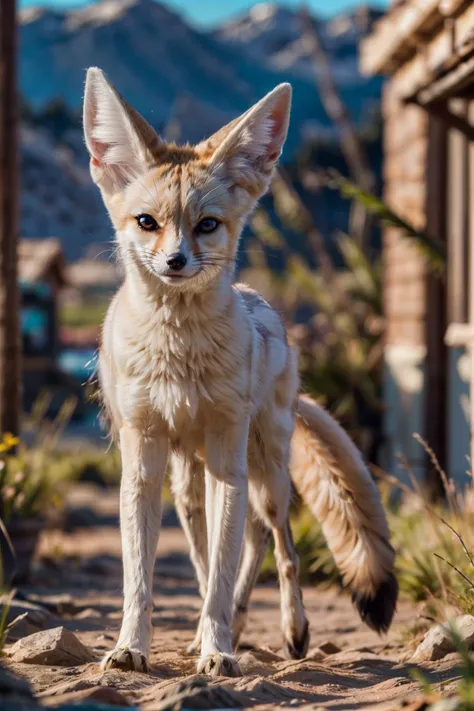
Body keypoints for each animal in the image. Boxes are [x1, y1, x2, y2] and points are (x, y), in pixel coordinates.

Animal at [82, 69, 396, 680]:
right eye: (147, 223)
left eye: (207, 225)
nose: (176, 262)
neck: (177, 354)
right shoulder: (143, 460)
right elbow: (143, 581)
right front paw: (132, 647)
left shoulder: (228, 456)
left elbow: (225, 575)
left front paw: (218, 650)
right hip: (187, 482)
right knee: (225, 552)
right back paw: (225, 627)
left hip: (265, 472)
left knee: (278, 544)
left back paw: (290, 631)